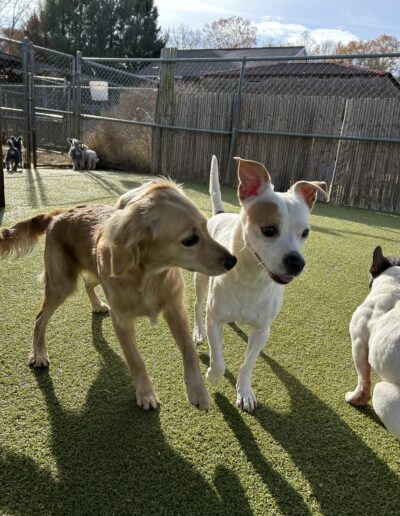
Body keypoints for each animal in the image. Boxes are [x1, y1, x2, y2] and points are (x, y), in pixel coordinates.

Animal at [0, 181, 236, 412]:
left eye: (207, 228)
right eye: (190, 240)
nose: (232, 261)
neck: (148, 275)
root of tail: (59, 212)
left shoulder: (175, 309)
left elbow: (189, 350)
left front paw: (198, 390)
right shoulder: (121, 320)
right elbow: (136, 359)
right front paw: (146, 393)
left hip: (92, 273)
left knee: (88, 284)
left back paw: (96, 305)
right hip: (61, 284)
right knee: (40, 318)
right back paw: (39, 353)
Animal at [194, 155, 328, 414]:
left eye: (305, 233)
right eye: (268, 230)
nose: (297, 262)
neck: (251, 280)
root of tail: (221, 213)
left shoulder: (262, 330)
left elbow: (248, 363)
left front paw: (245, 391)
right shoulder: (214, 319)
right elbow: (219, 359)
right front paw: (213, 375)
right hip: (201, 279)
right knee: (197, 305)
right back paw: (197, 332)